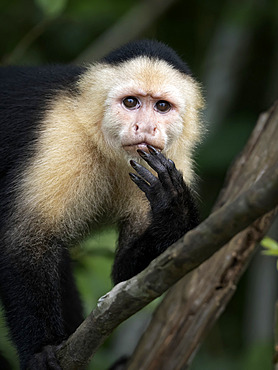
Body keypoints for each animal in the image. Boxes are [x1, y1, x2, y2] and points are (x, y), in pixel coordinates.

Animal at [0, 39, 204, 368]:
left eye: (162, 106)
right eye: (131, 103)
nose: (145, 127)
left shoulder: (172, 160)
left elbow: (127, 277)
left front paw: (174, 207)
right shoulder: (62, 138)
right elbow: (24, 242)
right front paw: (41, 349)